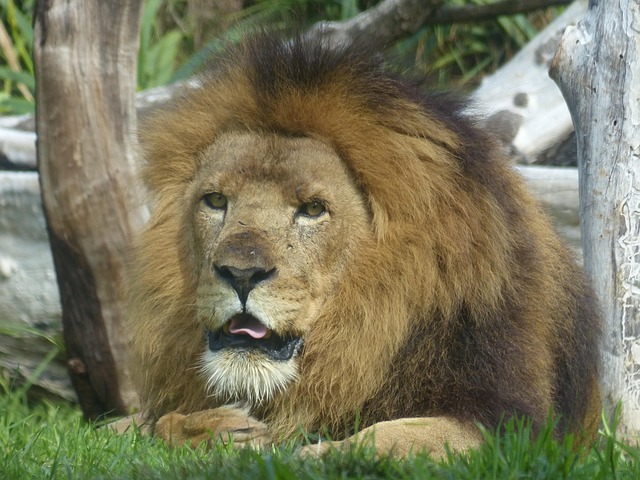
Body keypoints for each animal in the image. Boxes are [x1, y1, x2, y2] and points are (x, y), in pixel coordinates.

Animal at [125, 32, 602, 458]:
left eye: (313, 209)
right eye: (216, 201)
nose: (241, 274)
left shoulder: (511, 422)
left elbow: (396, 436)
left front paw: (314, 456)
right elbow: (150, 423)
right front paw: (212, 430)